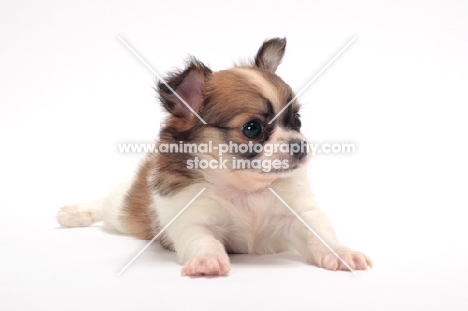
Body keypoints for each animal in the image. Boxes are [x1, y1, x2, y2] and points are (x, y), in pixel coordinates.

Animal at [56, 37, 372, 276]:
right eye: (252, 128)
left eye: (297, 121)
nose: (300, 146)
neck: (246, 190)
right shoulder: (191, 221)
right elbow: (203, 240)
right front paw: (207, 260)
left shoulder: (301, 214)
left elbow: (321, 236)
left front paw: (342, 252)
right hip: (124, 215)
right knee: (107, 204)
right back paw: (74, 214)